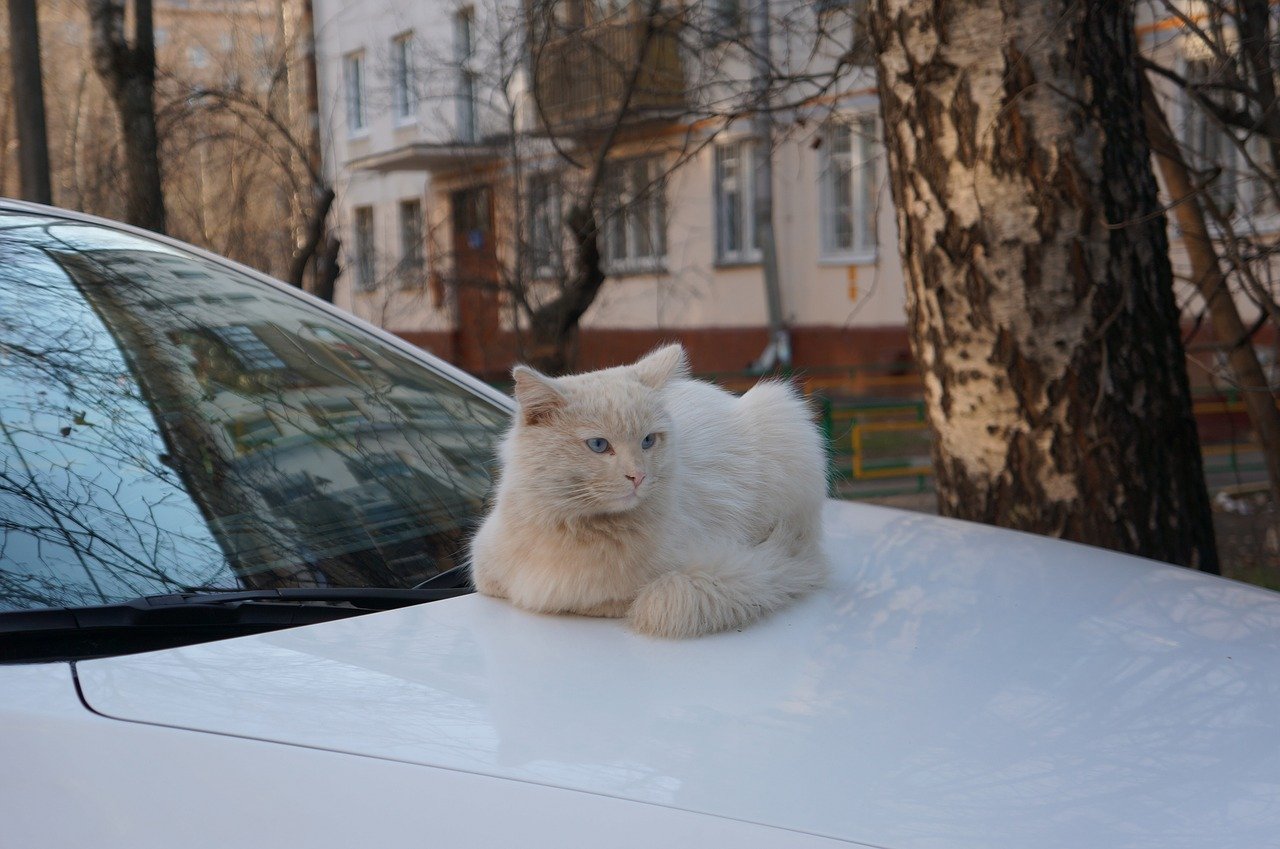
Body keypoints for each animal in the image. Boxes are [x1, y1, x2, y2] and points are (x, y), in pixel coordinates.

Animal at [471, 345, 829, 637]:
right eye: (598, 445)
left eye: (648, 440)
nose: (638, 476)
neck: (575, 528)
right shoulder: (485, 570)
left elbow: (613, 600)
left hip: (781, 419)